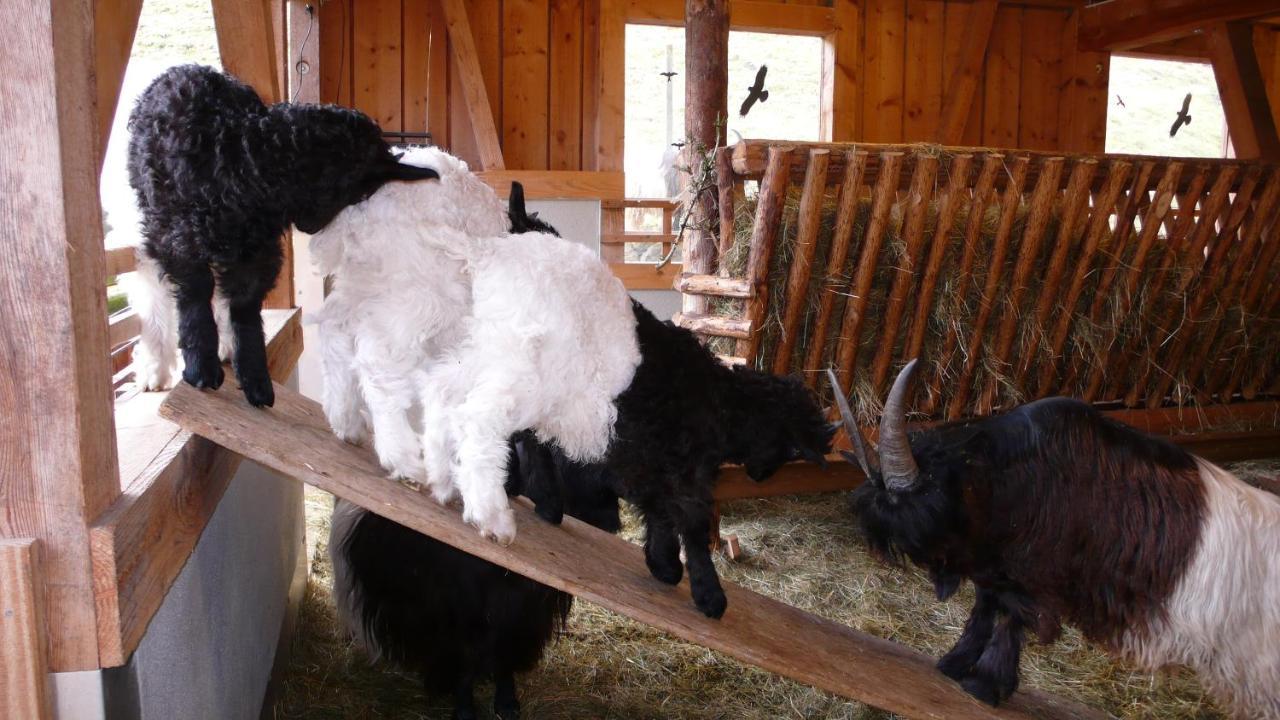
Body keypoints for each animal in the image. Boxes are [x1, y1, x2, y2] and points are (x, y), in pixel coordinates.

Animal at [128, 64, 440, 407]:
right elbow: (195, 290)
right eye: (355, 190)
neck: (244, 160)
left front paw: (255, 377)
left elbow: (245, 307)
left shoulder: (258, 252)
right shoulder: (179, 234)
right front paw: (201, 366)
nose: (311, 226)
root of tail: (186, 69)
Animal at [330, 435, 619, 712]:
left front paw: (507, 702)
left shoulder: (523, 614)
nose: (612, 522)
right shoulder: (457, 609)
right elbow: (466, 658)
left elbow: (504, 654)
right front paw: (465, 707)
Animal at [829, 358, 1280, 712]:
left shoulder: (1036, 574)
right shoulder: (998, 567)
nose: (938, 578)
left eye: (925, 518)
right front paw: (955, 663)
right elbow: (985, 607)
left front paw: (985, 684)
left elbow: (1010, 618)